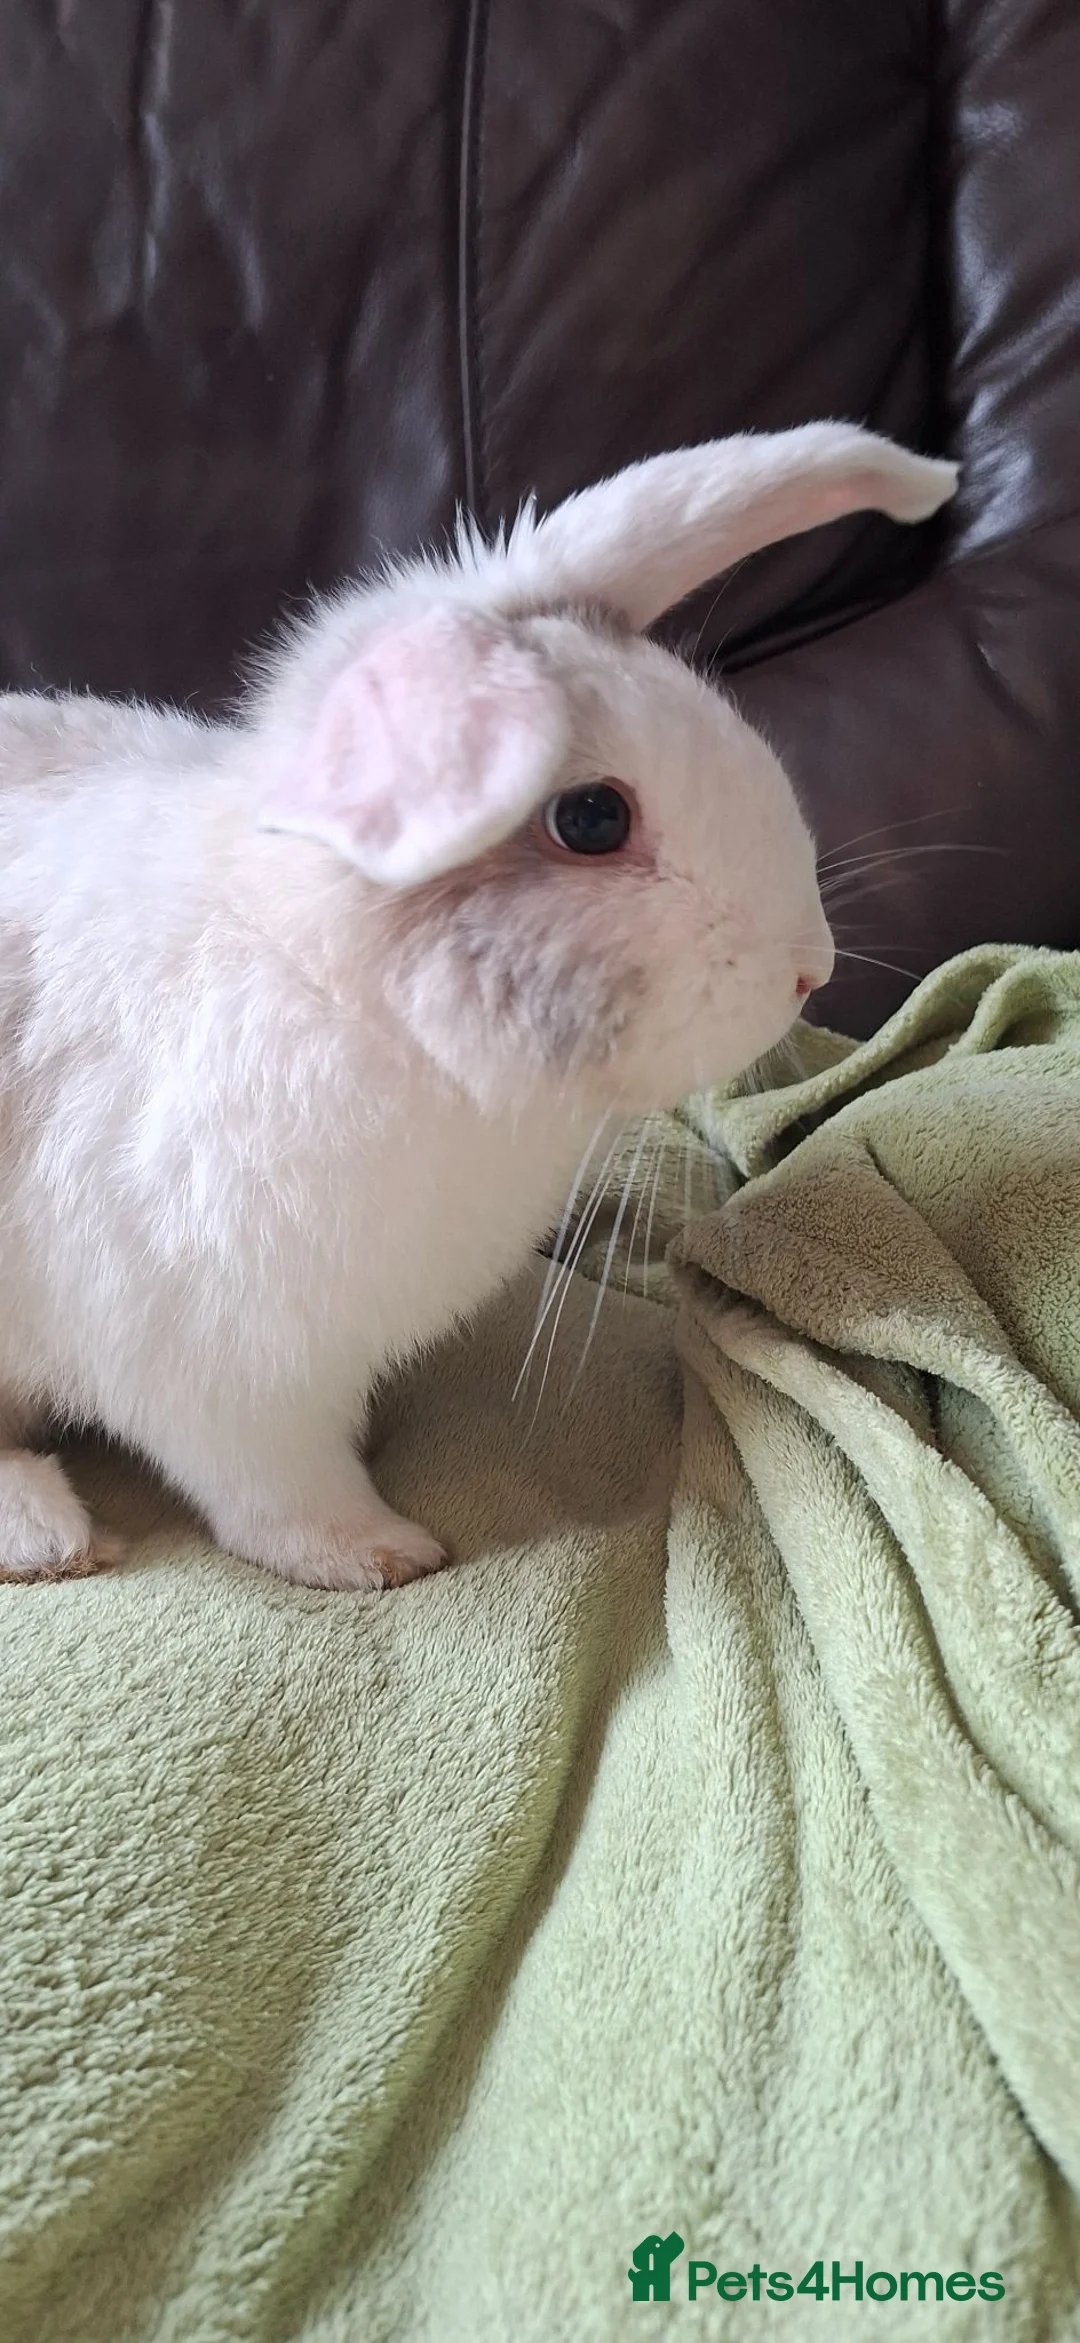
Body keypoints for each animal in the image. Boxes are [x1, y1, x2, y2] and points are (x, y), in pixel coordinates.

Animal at [0, 421, 956, 1591]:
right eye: (590, 818)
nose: (808, 970)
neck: (337, 988)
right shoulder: (219, 1365)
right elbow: (276, 1490)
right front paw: (379, 1555)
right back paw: (45, 1532)